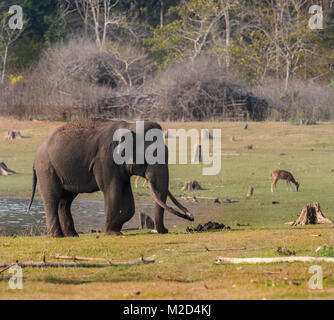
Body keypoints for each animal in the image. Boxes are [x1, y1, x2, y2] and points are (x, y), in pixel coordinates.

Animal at [27, 119, 194, 236]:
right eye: (152, 156)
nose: (165, 231)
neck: (131, 125)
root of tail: (35, 156)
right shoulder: (106, 160)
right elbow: (111, 189)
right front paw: (112, 232)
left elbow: (129, 200)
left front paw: (115, 228)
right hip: (47, 170)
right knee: (52, 199)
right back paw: (57, 236)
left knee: (65, 201)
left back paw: (72, 235)